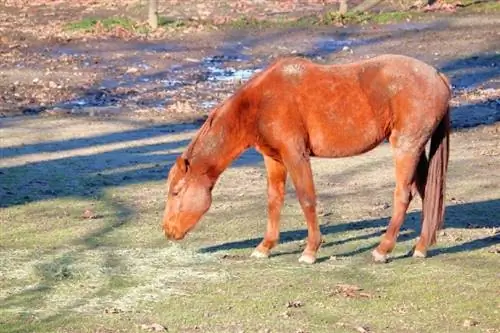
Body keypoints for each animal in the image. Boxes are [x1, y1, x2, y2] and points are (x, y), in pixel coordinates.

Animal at [162, 53, 452, 262]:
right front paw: (265, 247)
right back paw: (421, 246)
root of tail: (437, 76)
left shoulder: (296, 155)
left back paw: (383, 249)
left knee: (403, 194)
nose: (167, 231)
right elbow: (274, 200)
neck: (260, 103)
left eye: (176, 192)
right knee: (426, 191)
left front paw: (310, 250)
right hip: (417, 151)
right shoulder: (274, 159)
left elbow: (306, 198)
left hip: (405, 148)